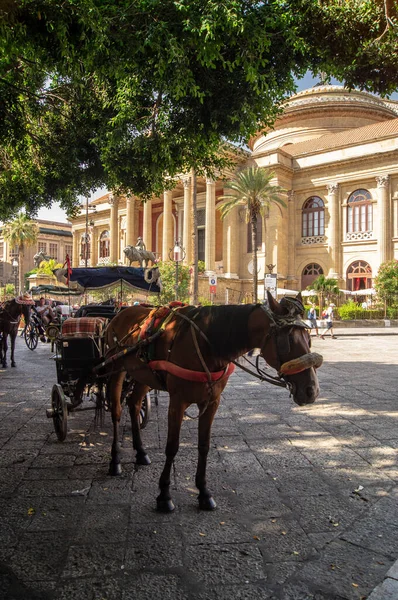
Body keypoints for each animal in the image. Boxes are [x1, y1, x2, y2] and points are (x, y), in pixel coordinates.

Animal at [105, 292, 324, 512]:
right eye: (288, 340)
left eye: (309, 339)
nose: (311, 390)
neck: (207, 346)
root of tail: (122, 312)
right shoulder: (177, 402)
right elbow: (172, 446)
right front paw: (164, 495)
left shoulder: (212, 402)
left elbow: (204, 445)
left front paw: (203, 492)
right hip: (116, 368)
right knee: (116, 410)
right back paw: (115, 461)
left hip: (143, 375)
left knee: (134, 404)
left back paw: (141, 453)